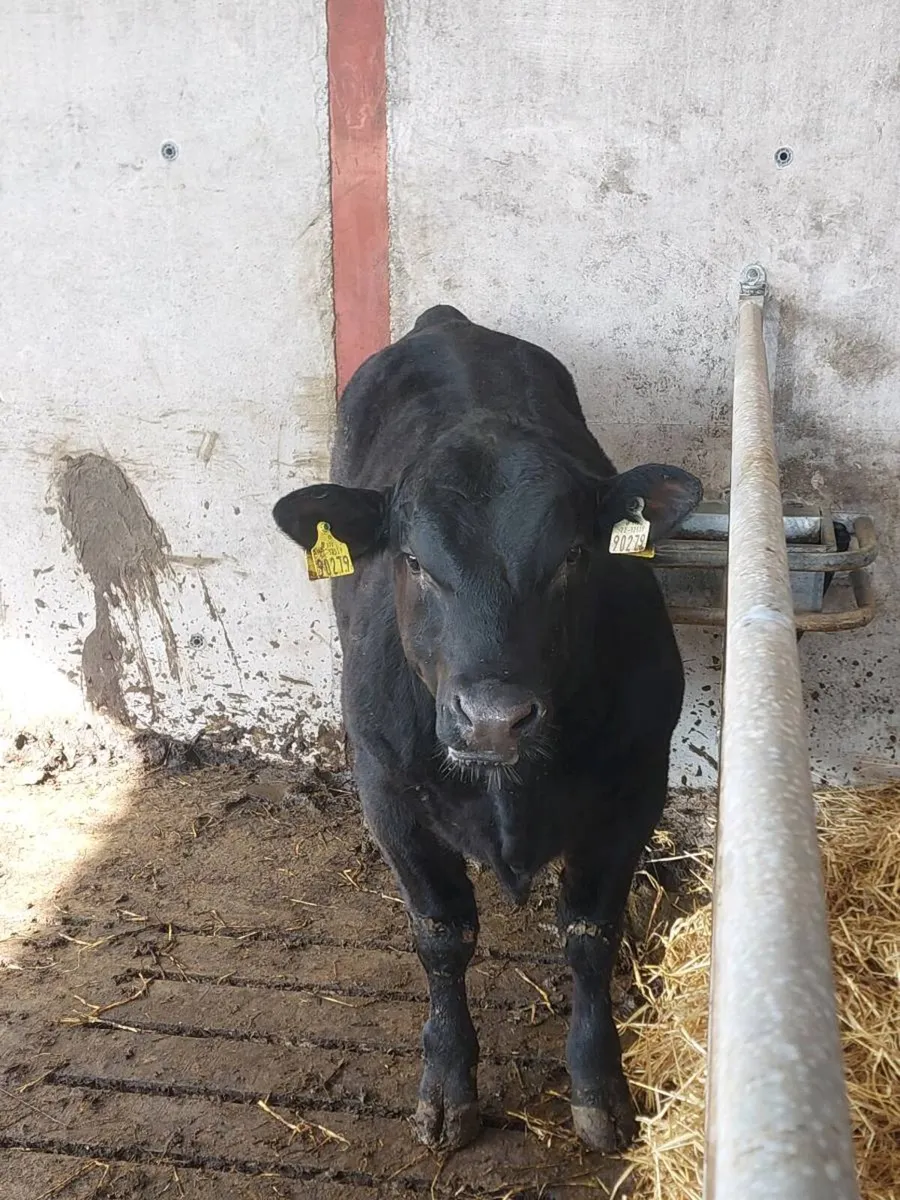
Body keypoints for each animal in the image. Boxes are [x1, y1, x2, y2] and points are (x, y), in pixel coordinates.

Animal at [272, 306, 702, 1153]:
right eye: (413, 560)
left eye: (574, 555)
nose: (496, 717)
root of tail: (448, 322)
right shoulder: (387, 793)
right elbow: (443, 935)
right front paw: (447, 1083)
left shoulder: (636, 785)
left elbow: (589, 933)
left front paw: (599, 1087)